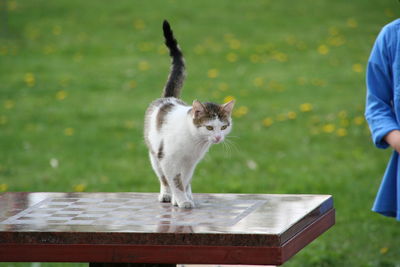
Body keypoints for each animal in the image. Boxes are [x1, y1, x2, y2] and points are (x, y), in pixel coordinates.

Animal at [144, 20, 234, 209]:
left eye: (223, 126)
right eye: (209, 127)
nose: (218, 137)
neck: (194, 142)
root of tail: (169, 97)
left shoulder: (190, 163)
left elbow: (184, 181)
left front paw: (183, 198)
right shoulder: (168, 160)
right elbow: (174, 181)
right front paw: (181, 200)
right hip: (154, 155)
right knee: (163, 178)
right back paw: (166, 194)